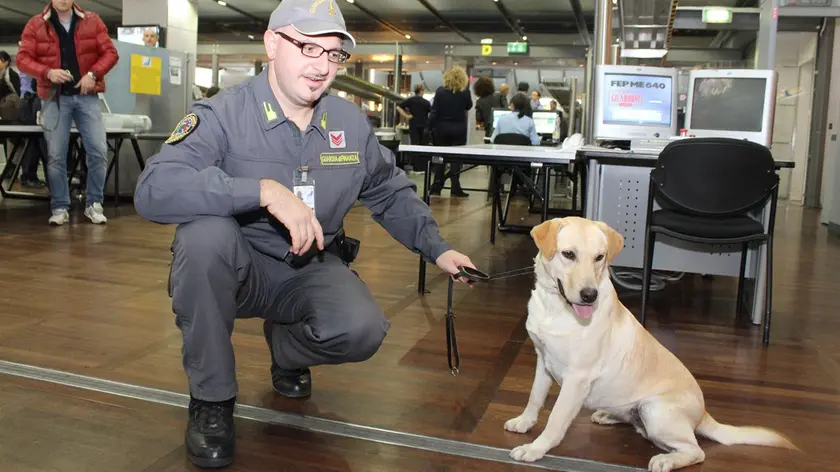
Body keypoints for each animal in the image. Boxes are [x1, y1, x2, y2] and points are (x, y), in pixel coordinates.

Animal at [502, 218, 796, 472]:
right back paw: (609, 416)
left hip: (655, 411)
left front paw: (535, 449)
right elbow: (535, 398)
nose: (589, 296)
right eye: (568, 254)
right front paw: (524, 422)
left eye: (599, 257)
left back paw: (665, 460)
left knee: (696, 451)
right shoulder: (543, 360)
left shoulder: (577, 378)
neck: (556, 308)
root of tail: (703, 414)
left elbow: (555, 420)